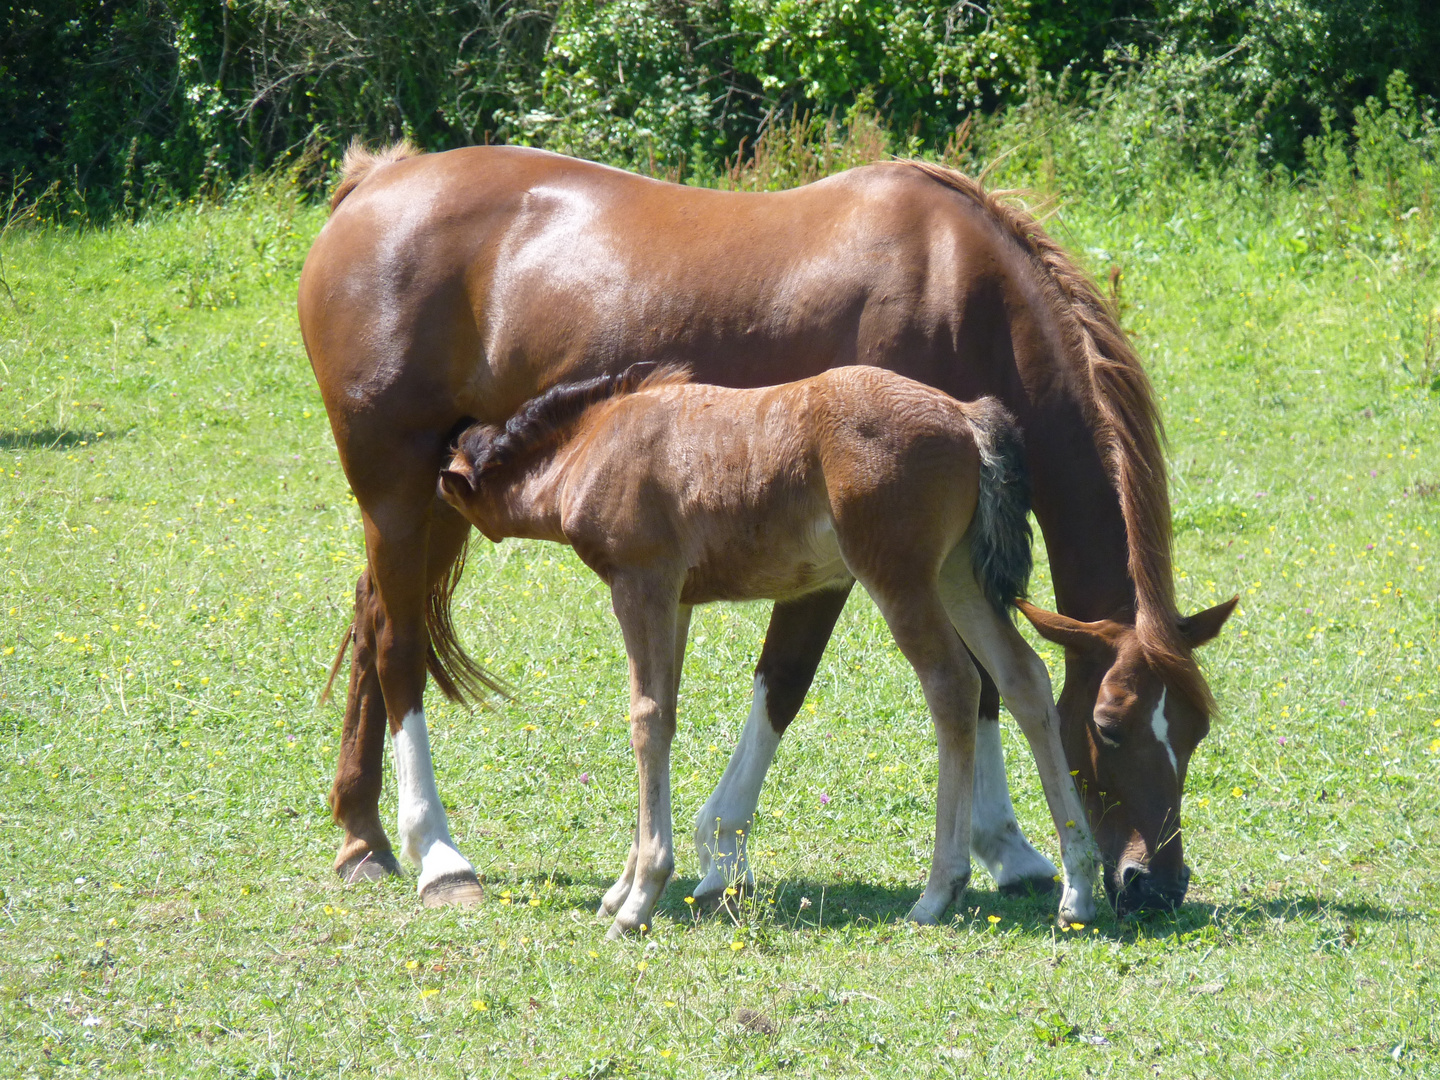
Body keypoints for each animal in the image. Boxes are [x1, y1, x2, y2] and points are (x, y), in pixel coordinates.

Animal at [432, 365, 1094, 938]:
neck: (593, 445)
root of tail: (965, 416)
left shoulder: (641, 584)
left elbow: (646, 720)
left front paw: (640, 899)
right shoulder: (675, 602)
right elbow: (663, 716)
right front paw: (622, 890)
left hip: (899, 577)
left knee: (955, 685)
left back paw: (938, 892)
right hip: (958, 573)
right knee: (1024, 677)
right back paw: (1079, 888)